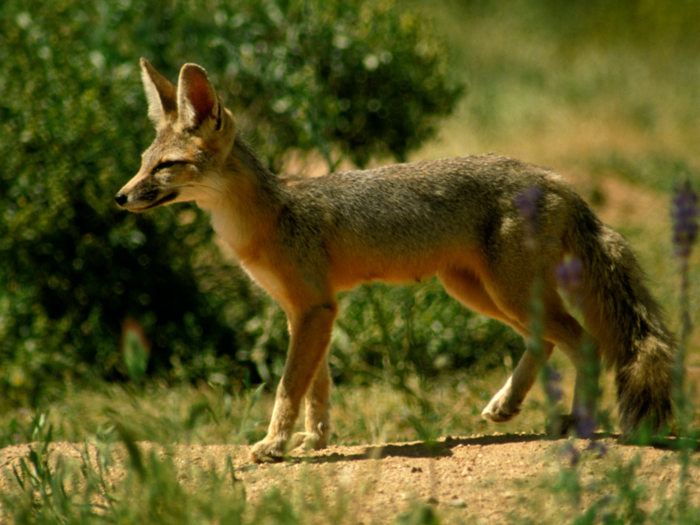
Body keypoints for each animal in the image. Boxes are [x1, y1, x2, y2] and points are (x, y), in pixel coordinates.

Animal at [116, 61, 680, 460]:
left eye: (166, 167)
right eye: (144, 163)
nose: (121, 198)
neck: (267, 217)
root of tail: (555, 177)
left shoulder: (314, 309)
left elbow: (288, 388)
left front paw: (273, 446)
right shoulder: (307, 312)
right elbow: (317, 388)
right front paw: (313, 441)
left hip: (505, 293)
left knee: (583, 342)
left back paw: (577, 423)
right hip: (476, 291)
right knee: (543, 341)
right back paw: (507, 405)